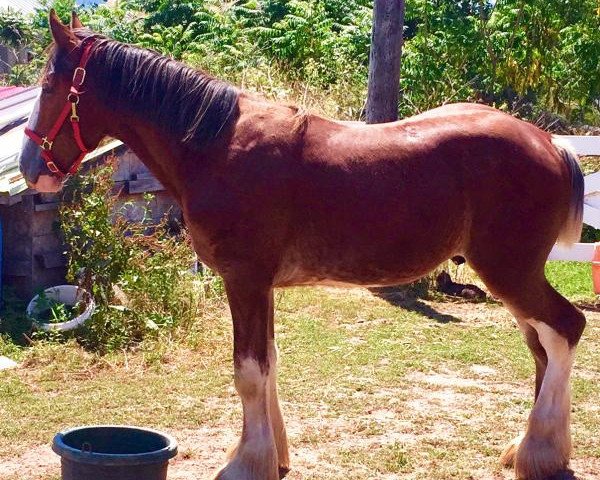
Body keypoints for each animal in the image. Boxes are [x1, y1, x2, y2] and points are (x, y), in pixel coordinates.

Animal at [17, 11, 584, 480]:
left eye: (49, 85)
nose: (29, 169)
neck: (216, 145)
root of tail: (550, 143)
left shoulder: (244, 278)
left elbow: (248, 370)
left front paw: (246, 464)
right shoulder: (261, 285)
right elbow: (268, 361)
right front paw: (273, 457)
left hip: (509, 272)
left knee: (565, 329)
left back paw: (540, 454)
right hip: (514, 278)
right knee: (542, 344)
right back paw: (526, 448)